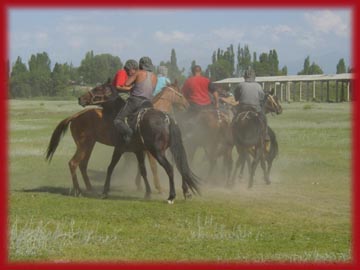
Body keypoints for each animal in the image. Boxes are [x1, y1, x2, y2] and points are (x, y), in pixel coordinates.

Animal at [45, 82, 188, 196]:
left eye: (98, 89)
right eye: (180, 92)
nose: (186, 104)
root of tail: (75, 116)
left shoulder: (138, 150)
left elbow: (143, 168)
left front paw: (143, 186)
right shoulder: (144, 150)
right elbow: (152, 167)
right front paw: (157, 188)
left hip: (89, 145)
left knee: (82, 164)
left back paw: (90, 189)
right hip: (83, 145)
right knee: (73, 163)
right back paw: (78, 190)